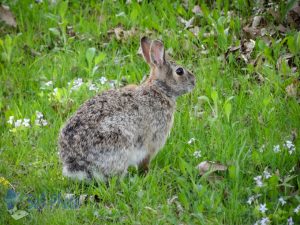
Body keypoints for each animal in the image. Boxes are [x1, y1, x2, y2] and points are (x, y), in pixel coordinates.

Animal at [57, 37, 196, 181]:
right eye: (179, 71)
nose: (194, 82)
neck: (159, 90)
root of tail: (77, 165)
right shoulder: (152, 142)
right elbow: (145, 162)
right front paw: (146, 174)